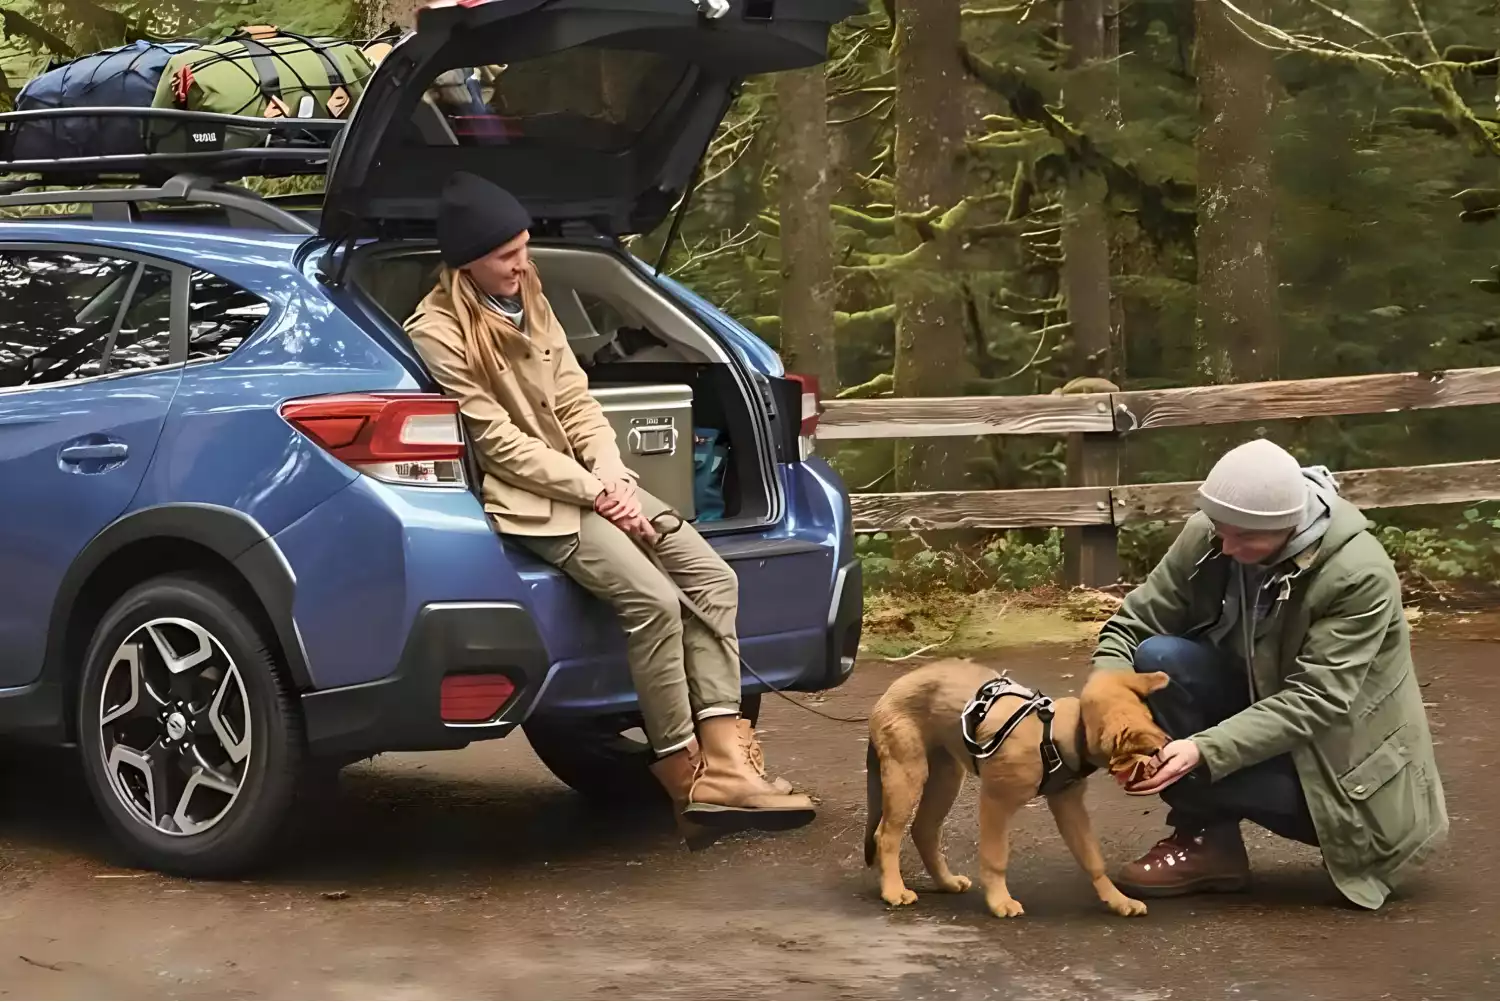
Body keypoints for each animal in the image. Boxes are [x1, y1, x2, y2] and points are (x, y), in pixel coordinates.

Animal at [870, 660, 1170, 918]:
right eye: (1152, 747)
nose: (1170, 745)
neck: (1056, 733)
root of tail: (896, 685)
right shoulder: (995, 801)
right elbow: (995, 857)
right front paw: (999, 901)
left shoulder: (1068, 805)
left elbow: (1092, 857)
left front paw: (1119, 900)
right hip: (907, 772)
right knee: (886, 835)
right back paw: (894, 891)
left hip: (946, 778)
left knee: (924, 829)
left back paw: (947, 882)